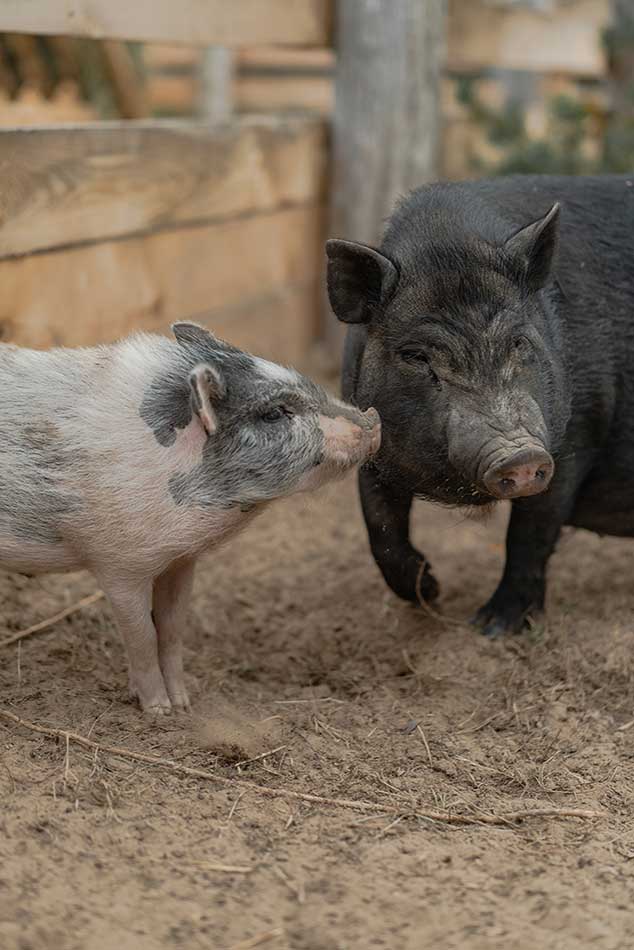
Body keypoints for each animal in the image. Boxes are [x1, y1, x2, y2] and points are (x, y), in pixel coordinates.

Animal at [0, 322, 380, 711]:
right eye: (274, 413)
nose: (372, 416)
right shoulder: (119, 566)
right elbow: (142, 636)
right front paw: (159, 711)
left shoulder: (180, 560)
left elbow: (171, 629)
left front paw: (184, 704)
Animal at [326, 175, 634, 636]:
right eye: (416, 356)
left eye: (519, 342)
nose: (520, 455)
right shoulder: (371, 436)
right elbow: (379, 527)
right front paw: (431, 592)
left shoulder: (574, 437)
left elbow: (530, 533)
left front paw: (489, 627)